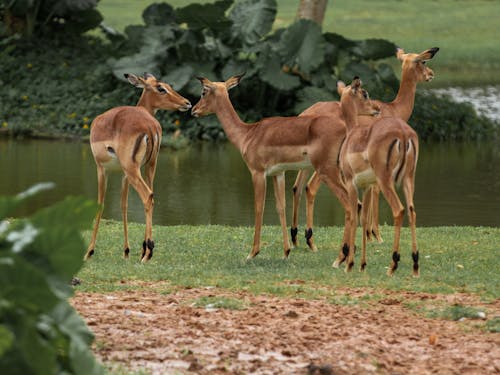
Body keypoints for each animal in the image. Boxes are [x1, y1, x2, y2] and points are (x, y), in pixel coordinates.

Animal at [84, 72, 191, 262]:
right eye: (161, 88)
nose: (187, 103)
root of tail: (150, 125)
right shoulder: (124, 175)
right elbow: (123, 205)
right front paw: (126, 251)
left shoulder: (101, 169)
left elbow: (101, 205)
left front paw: (89, 252)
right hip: (148, 167)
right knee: (151, 196)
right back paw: (145, 250)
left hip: (133, 170)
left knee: (147, 195)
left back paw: (147, 252)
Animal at [191, 74, 378, 260]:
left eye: (203, 92)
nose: (193, 109)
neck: (247, 134)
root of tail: (348, 130)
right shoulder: (278, 173)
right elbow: (280, 207)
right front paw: (286, 251)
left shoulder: (258, 173)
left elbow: (259, 207)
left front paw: (252, 253)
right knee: (353, 203)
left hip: (327, 171)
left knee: (349, 203)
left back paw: (343, 253)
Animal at [292, 47, 440, 253]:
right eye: (423, 61)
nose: (431, 74)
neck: (393, 109)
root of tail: (306, 114)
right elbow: (374, 194)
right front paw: (375, 236)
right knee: (310, 188)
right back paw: (311, 241)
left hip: (307, 165)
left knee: (297, 187)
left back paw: (296, 239)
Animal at [338, 77, 420, 276]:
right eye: (365, 93)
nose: (376, 108)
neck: (353, 134)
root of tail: (403, 133)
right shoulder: (367, 186)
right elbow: (363, 219)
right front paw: (362, 264)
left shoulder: (351, 184)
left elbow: (353, 217)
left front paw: (349, 264)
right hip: (408, 180)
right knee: (412, 211)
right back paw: (415, 264)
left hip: (386, 181)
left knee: (399, 210)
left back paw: (393, 264)